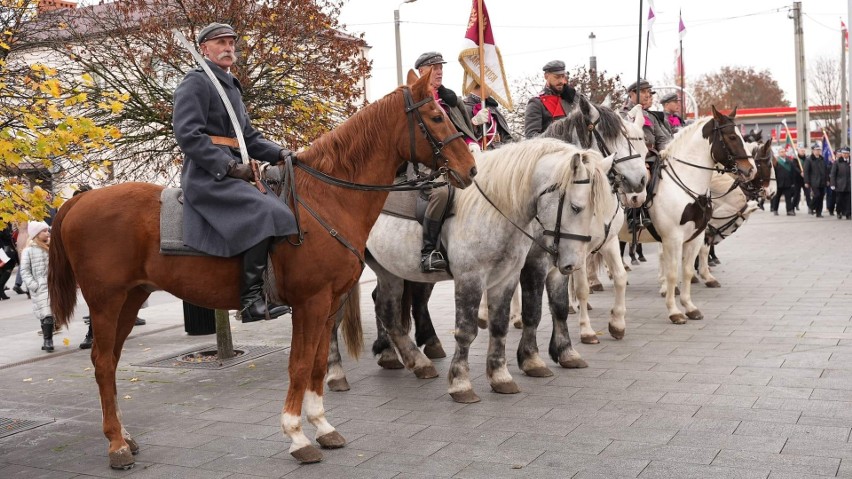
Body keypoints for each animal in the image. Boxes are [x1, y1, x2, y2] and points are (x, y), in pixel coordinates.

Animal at [48, 70, 480, 468]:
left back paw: (124, 436)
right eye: (436, 117)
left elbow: (318, 365)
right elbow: (300, 365)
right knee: (103, 362)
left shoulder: (328, 305)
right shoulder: (310, 303)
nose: (471, 169)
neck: (327, 198)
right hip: (106, 302)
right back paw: (116, 445)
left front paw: (322, 426)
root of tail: (79, 201)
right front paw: (297, 436)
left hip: (130, 299)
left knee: (111, 362)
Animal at [338, 140, 612, 404]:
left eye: (595, 210)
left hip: (388, 269)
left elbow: (503, 325)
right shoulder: (473, 277)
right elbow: (468, 330)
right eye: (576, 207)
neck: (496, 208)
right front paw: (461, 383)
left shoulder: (507, 278)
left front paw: (502, 377)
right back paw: (337, 374)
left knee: (386, 309)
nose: (573, 263)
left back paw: (412, 361)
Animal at [620, 107, 752, 324]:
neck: (686, 183)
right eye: (732, 136)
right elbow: (673, 273)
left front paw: (690, 307)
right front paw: (674, 311)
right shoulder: (672, 238)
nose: (750, 169)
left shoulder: (695, 236)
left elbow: (688, 271)